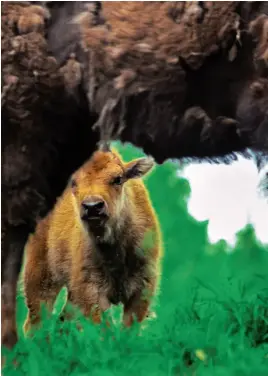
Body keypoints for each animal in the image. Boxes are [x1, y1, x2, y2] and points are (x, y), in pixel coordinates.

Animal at [23, 145, 162, 334]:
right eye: (73, 182)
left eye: (118, 179)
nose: (92, 206)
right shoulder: (91, 290)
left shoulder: (142, 287)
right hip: (41, 275)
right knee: (37, 321)